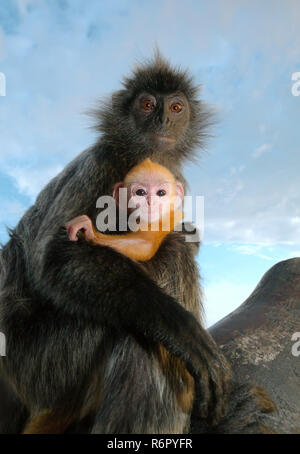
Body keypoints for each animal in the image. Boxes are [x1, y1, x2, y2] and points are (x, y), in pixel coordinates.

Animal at [0, 53, 230, 432]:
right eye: (148, 104)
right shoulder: (101, 162)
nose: (164, 119)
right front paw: (179, 327)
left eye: (176, 107)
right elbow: (55, 258)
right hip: (44, 366)